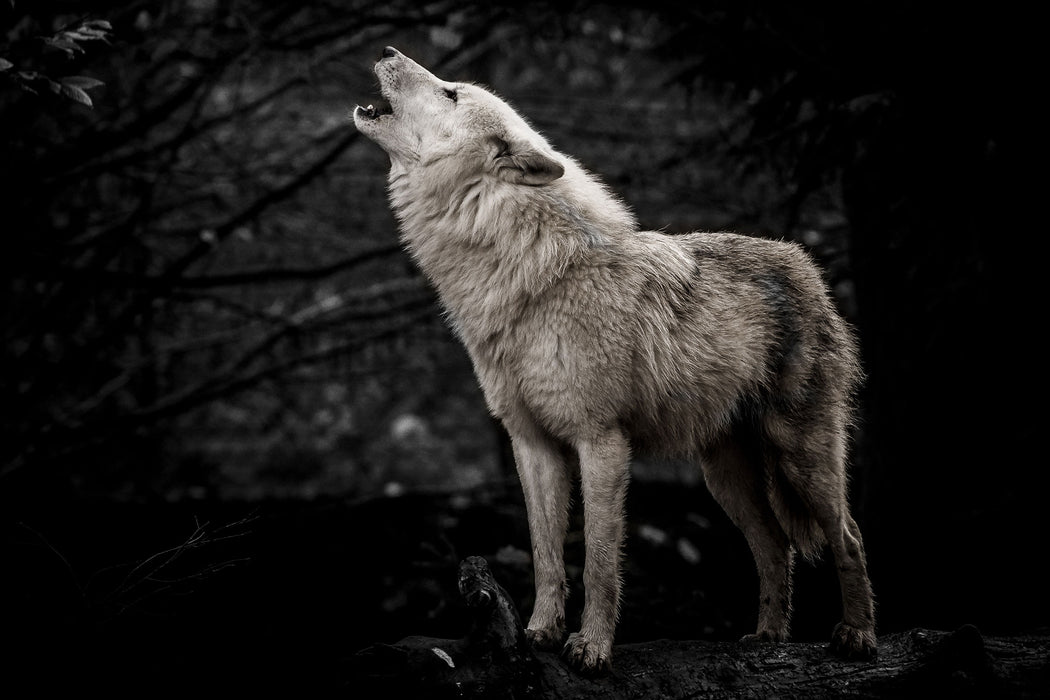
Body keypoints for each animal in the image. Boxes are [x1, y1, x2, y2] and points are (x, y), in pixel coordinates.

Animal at [352, 46, 877, 675]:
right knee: (775, 546)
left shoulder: (600, 441)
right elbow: (546, 554)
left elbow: (599, 561)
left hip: (802, 457)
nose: (387, 50)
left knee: (848, 536)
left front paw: (592, 648)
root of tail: (805, 263)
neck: (529, 277)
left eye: (451, 92)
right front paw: (538, 633)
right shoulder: (532, 445)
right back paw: (768, 637)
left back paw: (857, 636)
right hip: (724, 477)